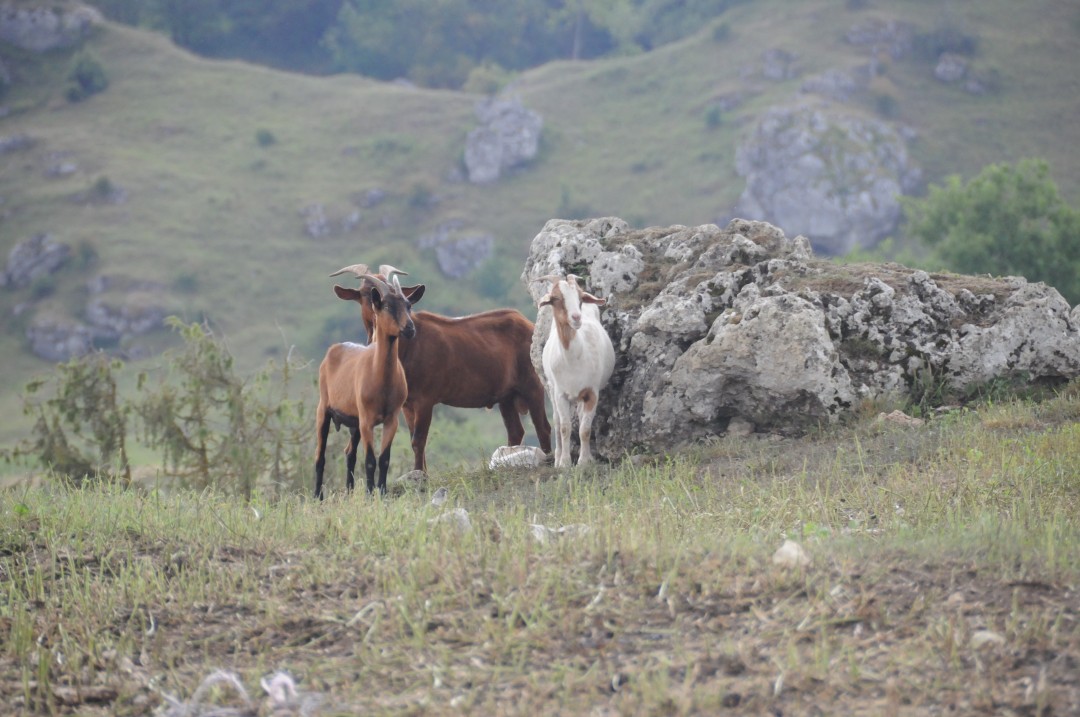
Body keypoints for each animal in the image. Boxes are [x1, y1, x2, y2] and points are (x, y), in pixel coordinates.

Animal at [313, 268, 421, 498]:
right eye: (386, 305)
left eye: (408, 305)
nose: (409, 328)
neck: (382, 379)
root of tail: (334, 350)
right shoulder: (366, 419)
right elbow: (370, 460)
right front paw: (371, 493)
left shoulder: (391, 419)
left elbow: (384, 459)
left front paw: (382, 492)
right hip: (324, 410)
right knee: (320, 455)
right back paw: (317, 496)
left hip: (353, 423)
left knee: (349, 453)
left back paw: (349, 490)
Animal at [330, 265, 552, 472]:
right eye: (367, 294)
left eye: (408, 304)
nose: (408, 328)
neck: (408, 349)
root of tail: (530, 325)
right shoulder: (407, 404)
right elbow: (413, 439)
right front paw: (422, 472)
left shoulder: (426, 399)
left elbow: (418, 440)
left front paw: (419, 474)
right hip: (506, 396)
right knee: (515, 431)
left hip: (532, 384)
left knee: (543, 427)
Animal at [535, 275, 613, 470]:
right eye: (555, 298)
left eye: (580, 298)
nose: (576, 317)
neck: (574, 360)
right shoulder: (561, 394)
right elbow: (564, 427)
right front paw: (564, 462)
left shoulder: (591, 392)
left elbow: (585, 429)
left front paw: (584, 462)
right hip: (551, 389)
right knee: (556, 421)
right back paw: (557, 458)